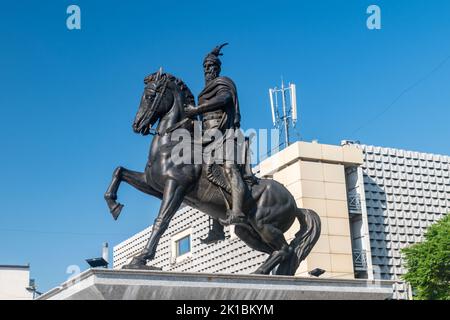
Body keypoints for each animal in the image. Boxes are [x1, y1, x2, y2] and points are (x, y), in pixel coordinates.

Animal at [105, 70, 320, 276]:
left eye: (150, 96)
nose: (137, 125)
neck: (171, 145)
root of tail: (295, 204)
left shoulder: (176, 186)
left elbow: (161, 221)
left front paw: (141, 258)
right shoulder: (153, 186)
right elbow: (119, 171)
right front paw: (114, 205)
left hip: (264, 225)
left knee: (285, 249)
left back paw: (260, 272)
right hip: (248, 231)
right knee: (278, 251)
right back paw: (264, 272)